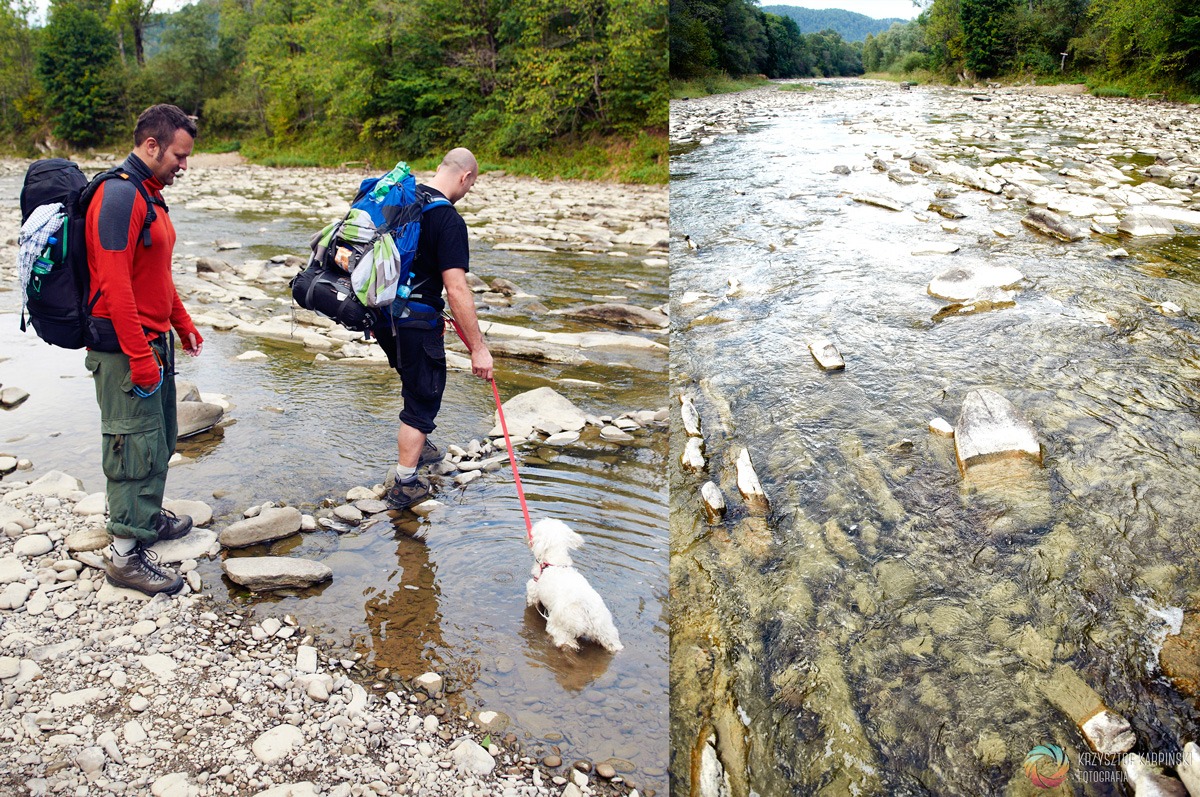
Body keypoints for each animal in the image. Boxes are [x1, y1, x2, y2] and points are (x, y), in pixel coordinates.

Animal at [525, 516, 624, 652]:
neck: (555, 563)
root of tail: (587, 610)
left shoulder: (533, 589)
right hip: (607, 631)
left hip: (561, 628)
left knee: (565, 642)